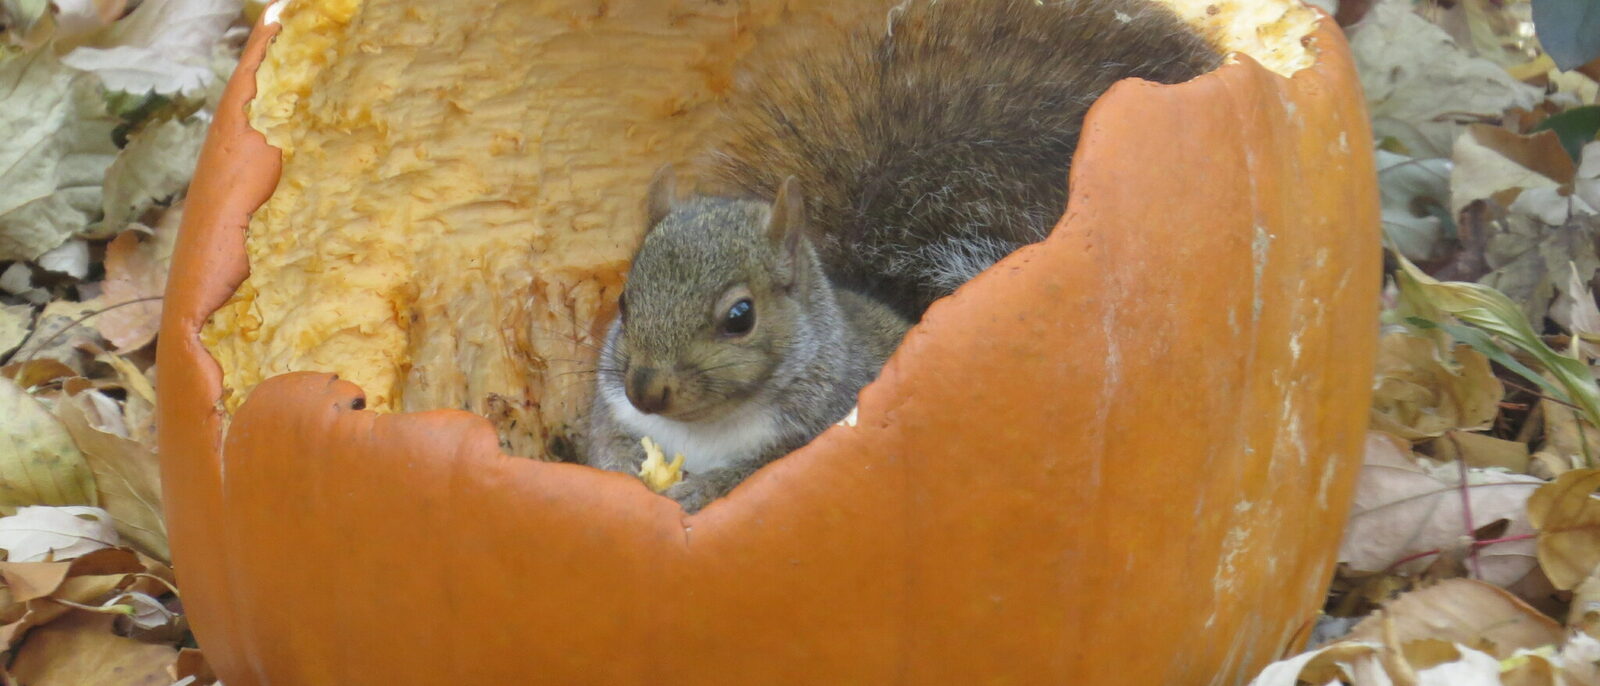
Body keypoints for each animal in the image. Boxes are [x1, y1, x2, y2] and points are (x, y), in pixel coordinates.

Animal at [582, 0, 1223, 512]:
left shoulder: (819, 430)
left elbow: (756, 472)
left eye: (740, 317)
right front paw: (627, 470)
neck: (702, 430)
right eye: (624, 301)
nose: (646, 392)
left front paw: (700, 489)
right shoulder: (610, 408)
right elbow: (604, 441)